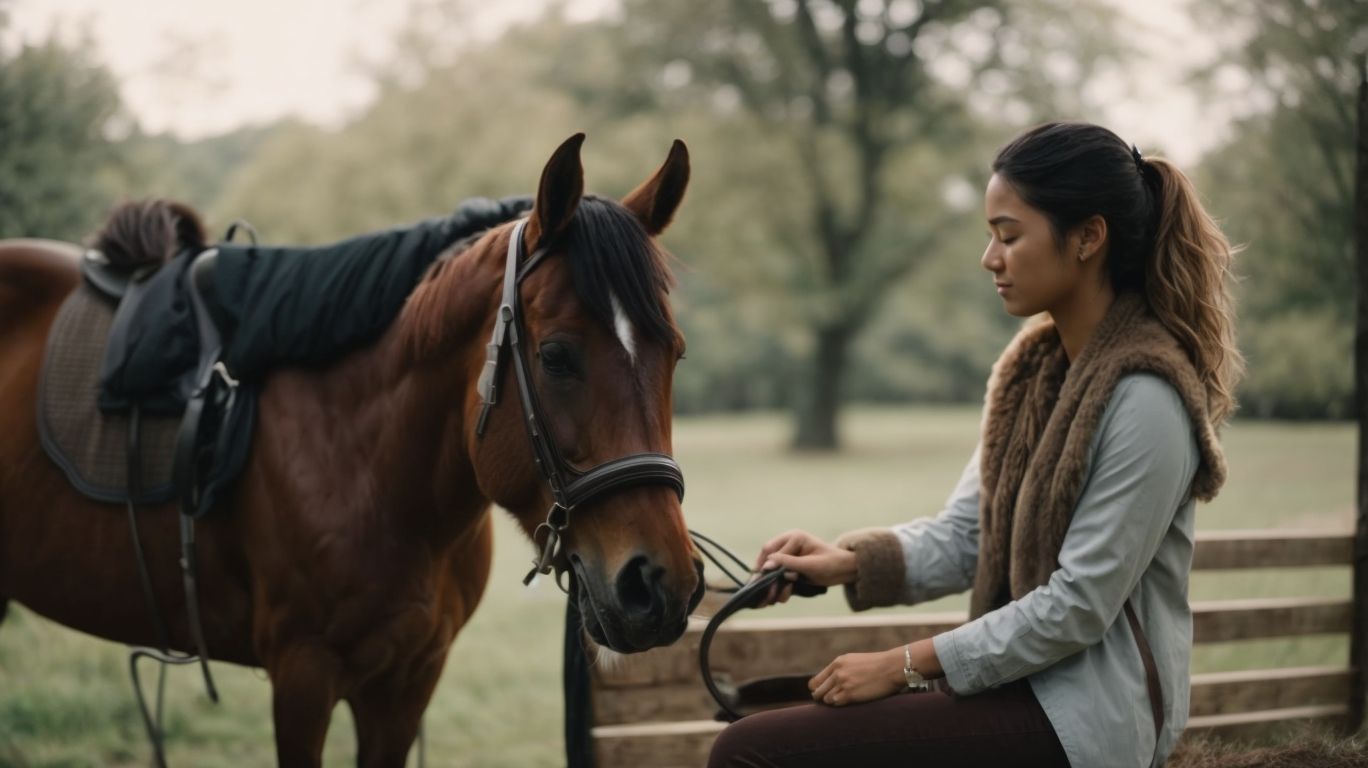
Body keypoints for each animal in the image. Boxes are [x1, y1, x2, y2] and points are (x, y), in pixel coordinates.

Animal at [0, 133, 703, 766]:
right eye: (556, 357)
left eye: (674, 354)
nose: (659, 584)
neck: (371, 467)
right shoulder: (302, 675)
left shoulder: (407, 682)